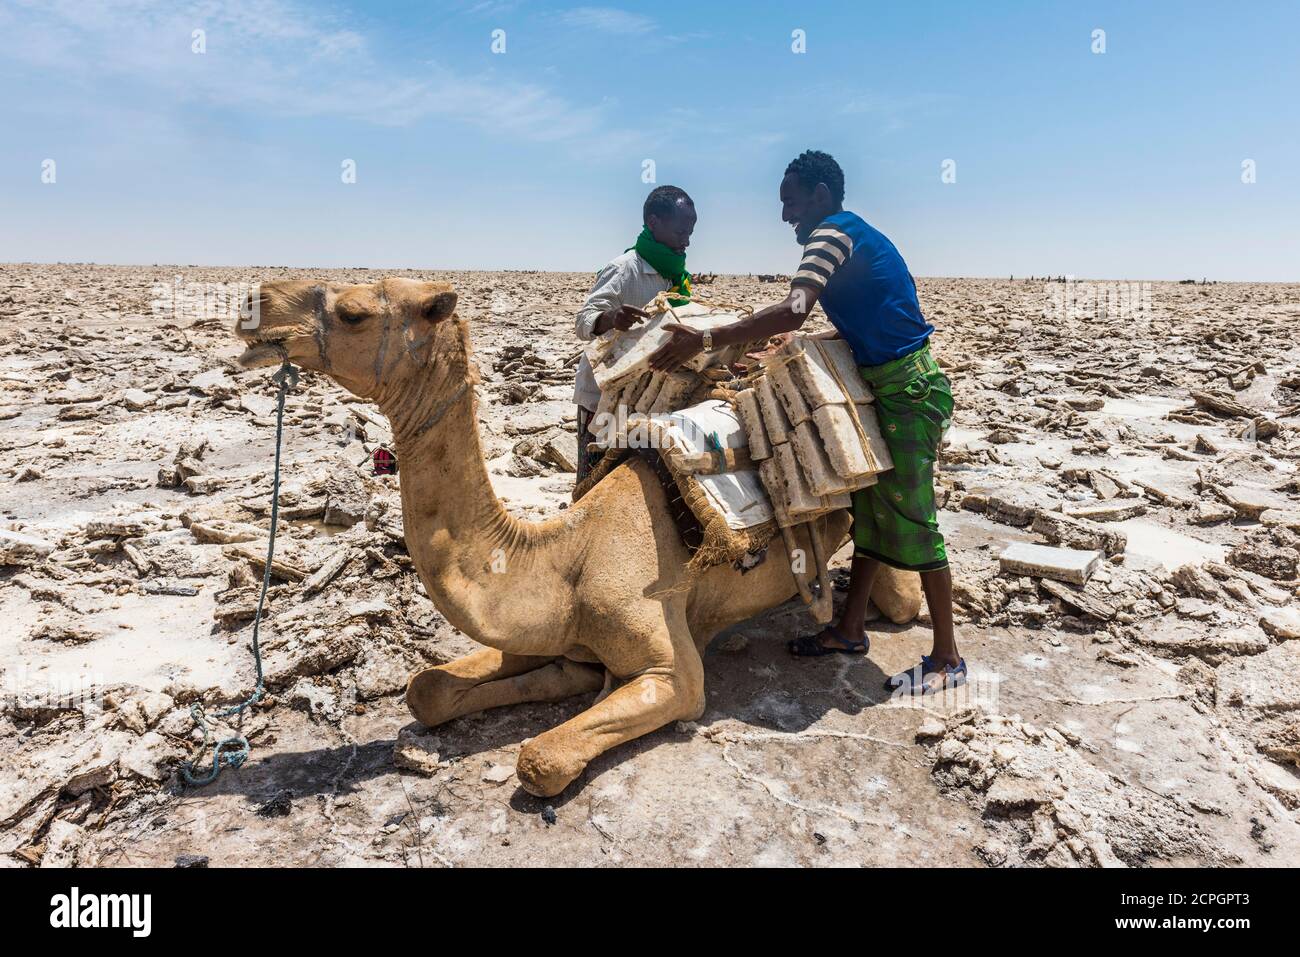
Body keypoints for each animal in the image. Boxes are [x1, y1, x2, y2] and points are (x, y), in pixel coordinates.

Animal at [236, 278, 925, 800]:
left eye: (351, 312)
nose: (256, 302)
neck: (564, 555)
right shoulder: (562, 641)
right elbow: (428, 690)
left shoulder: (672, 672)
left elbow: (540, 759)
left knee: (900, 590)